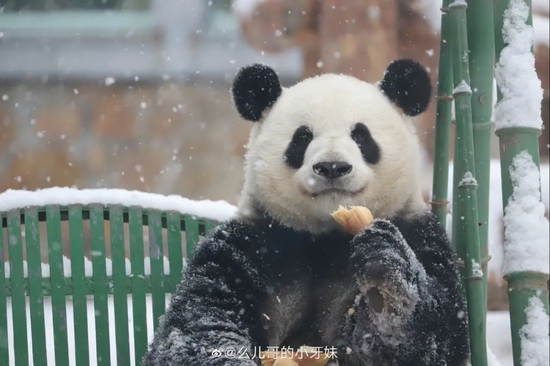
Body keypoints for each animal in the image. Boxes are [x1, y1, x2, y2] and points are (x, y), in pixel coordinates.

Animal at [141, 58, 470, 364]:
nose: (332, 166)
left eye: (361, 135)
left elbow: (434, 335)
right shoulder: (248, 244)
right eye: (302, 137)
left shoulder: (419, 235)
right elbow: (195, 325)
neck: (325, 237)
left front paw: (386, 276)